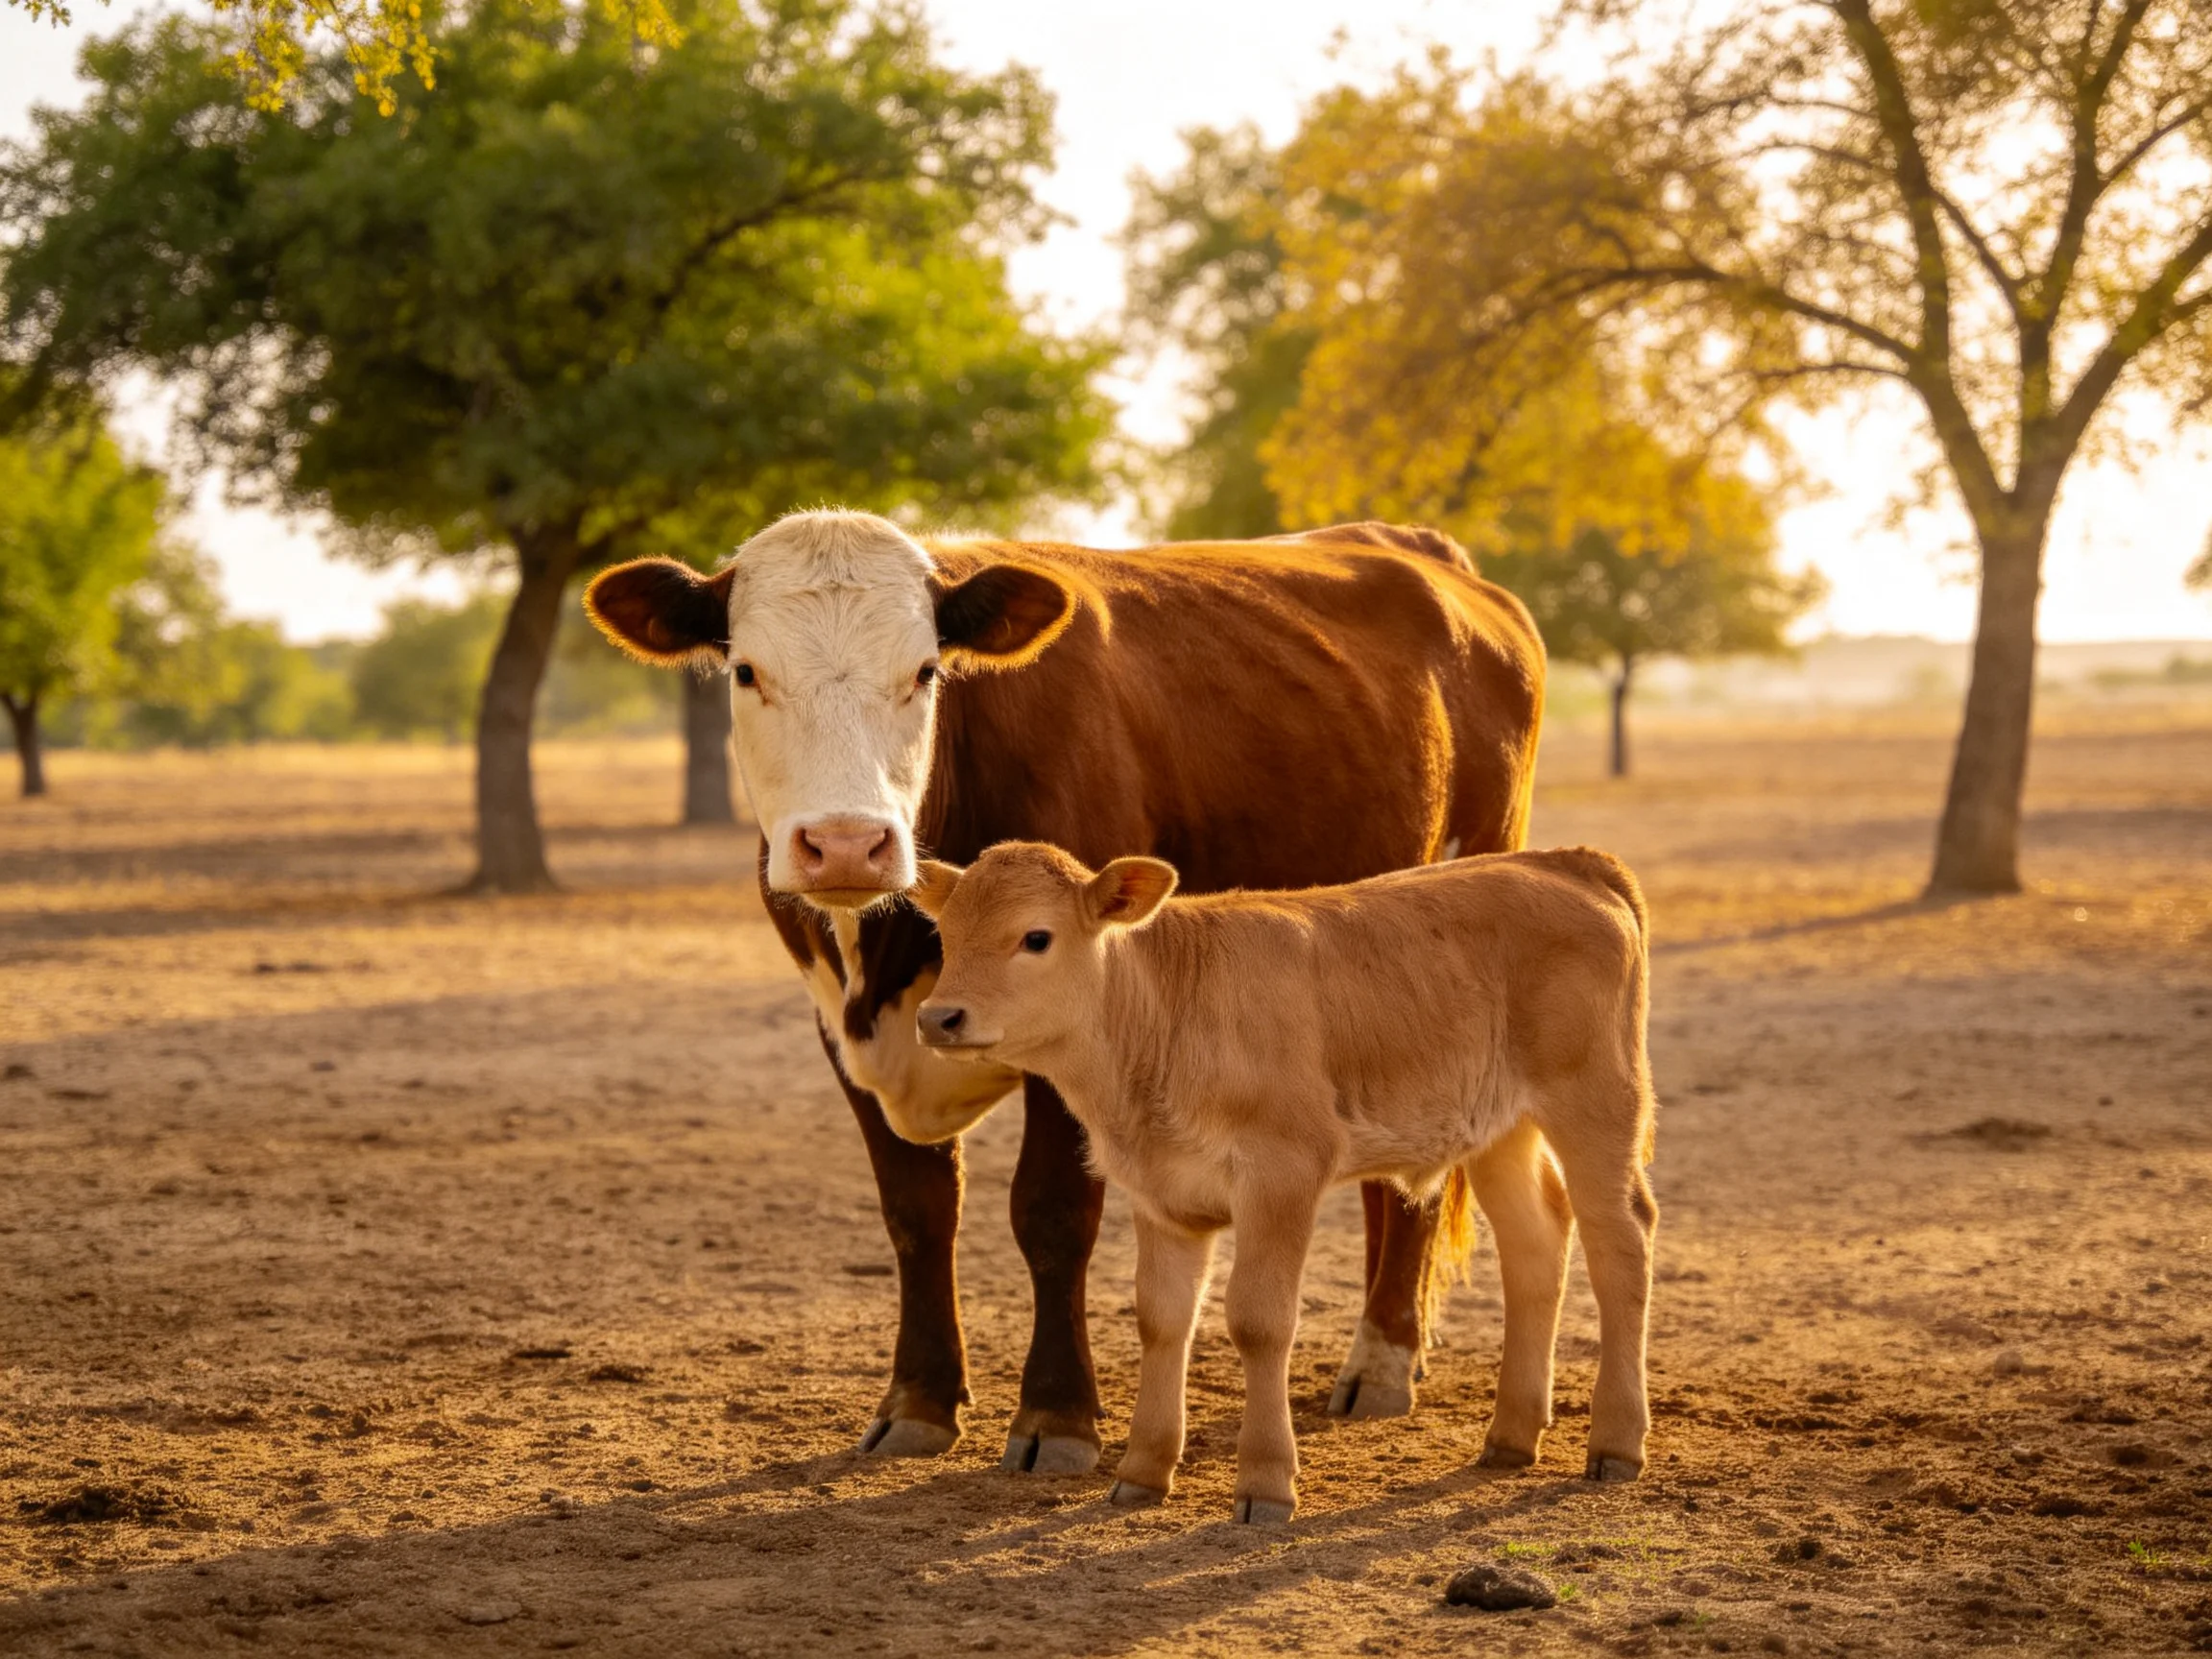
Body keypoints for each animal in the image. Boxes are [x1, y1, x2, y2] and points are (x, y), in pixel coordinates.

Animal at [583, 509, 1544, 1475]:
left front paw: (1056, 1415)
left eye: (924, 671)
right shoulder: (843, 1033)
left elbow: (1051, 1212)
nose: (848, 844)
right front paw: (918, 1401)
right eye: (746, 670)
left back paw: (1382, 1360)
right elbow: (916, 1213)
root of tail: (1419, 549)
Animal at [908, 841, 1658, 1523]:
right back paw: (1510, 1435)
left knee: (1621, 1245)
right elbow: (1161, 1319)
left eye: (1036, 937)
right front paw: (1142, 1472)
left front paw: (1265, 1483)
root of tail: (1567, 862)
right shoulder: (1159, 1190)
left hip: (1595, 1101)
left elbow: (1259, 1321)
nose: (937, 1018)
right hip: (1501, 1128)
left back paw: (1616, 1441)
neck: (1166, 1016)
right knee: (1535, 1245)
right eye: (946, 935)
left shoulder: (1283, 1173)